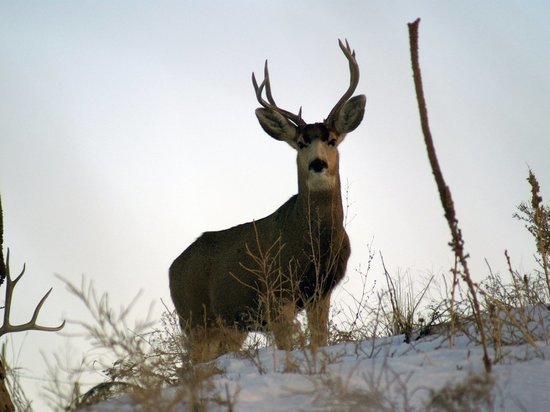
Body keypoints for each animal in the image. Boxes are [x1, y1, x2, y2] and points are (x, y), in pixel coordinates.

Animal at [169, 38, 366, 360]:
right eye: (301, 143)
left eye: (332, 140)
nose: (318, 164)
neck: (313, 244)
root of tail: (172, 268)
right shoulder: (277, 291)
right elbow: (288, 346)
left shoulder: (320, 291)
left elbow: (319, 340)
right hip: (194, 318)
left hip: (230, 327)